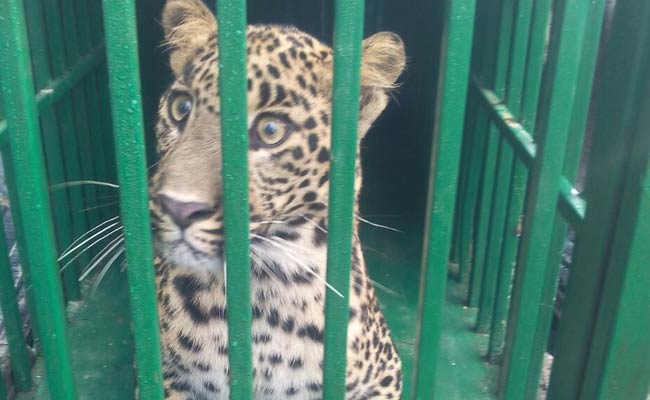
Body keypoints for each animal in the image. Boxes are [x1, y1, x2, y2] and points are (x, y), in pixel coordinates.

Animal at [149, 1, 404, 398]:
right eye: (181, 107)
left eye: (270, 131)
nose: (178, 207)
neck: (263, 297)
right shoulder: (170, 378)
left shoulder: (385, 374)